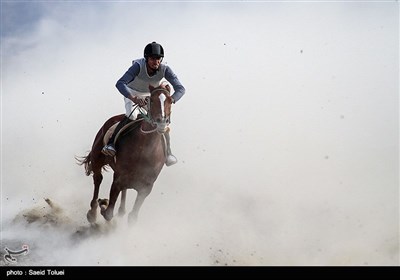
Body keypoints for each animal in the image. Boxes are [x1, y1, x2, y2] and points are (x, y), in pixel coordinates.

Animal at [77, 84, 173, 224]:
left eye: (171, 101)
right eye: (152, 100)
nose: (161, 122)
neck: (144, 150)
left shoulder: (146, 187)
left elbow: (133, 217)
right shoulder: (119, 178)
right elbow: (108, 213)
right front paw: (103, 203)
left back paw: (121, 210)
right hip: (97, 157)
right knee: (98, 178)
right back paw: (93, 212)